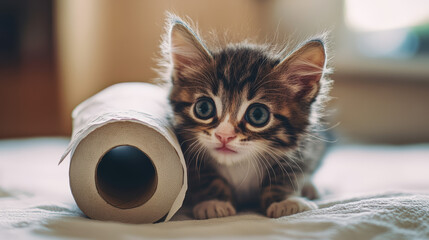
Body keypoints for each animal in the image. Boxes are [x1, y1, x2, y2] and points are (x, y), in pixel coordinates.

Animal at [162, 15, 332, 219]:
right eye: (203, 108)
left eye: (257, 115)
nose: (224, 136)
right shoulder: (189, 151)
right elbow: (206, 177)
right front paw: (214, 202)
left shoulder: (303, 150)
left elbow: (286, 175)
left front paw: (284, 201)